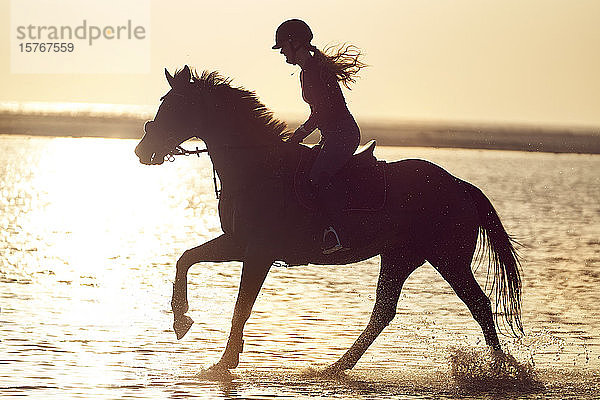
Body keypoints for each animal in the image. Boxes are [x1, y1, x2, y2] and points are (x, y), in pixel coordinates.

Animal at [135, 65, 520, 376]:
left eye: (175, 106)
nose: (142, 151)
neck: (257, 168)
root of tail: (459, 185)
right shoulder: (238, 244)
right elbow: (186, 259)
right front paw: (182, 320)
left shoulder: (258, 252)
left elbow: (241, 306)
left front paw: (223, 361)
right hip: (400, 258)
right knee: (383, 313)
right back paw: (334, 368)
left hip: (448, 259)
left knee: (479, 306)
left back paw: (504, 370)